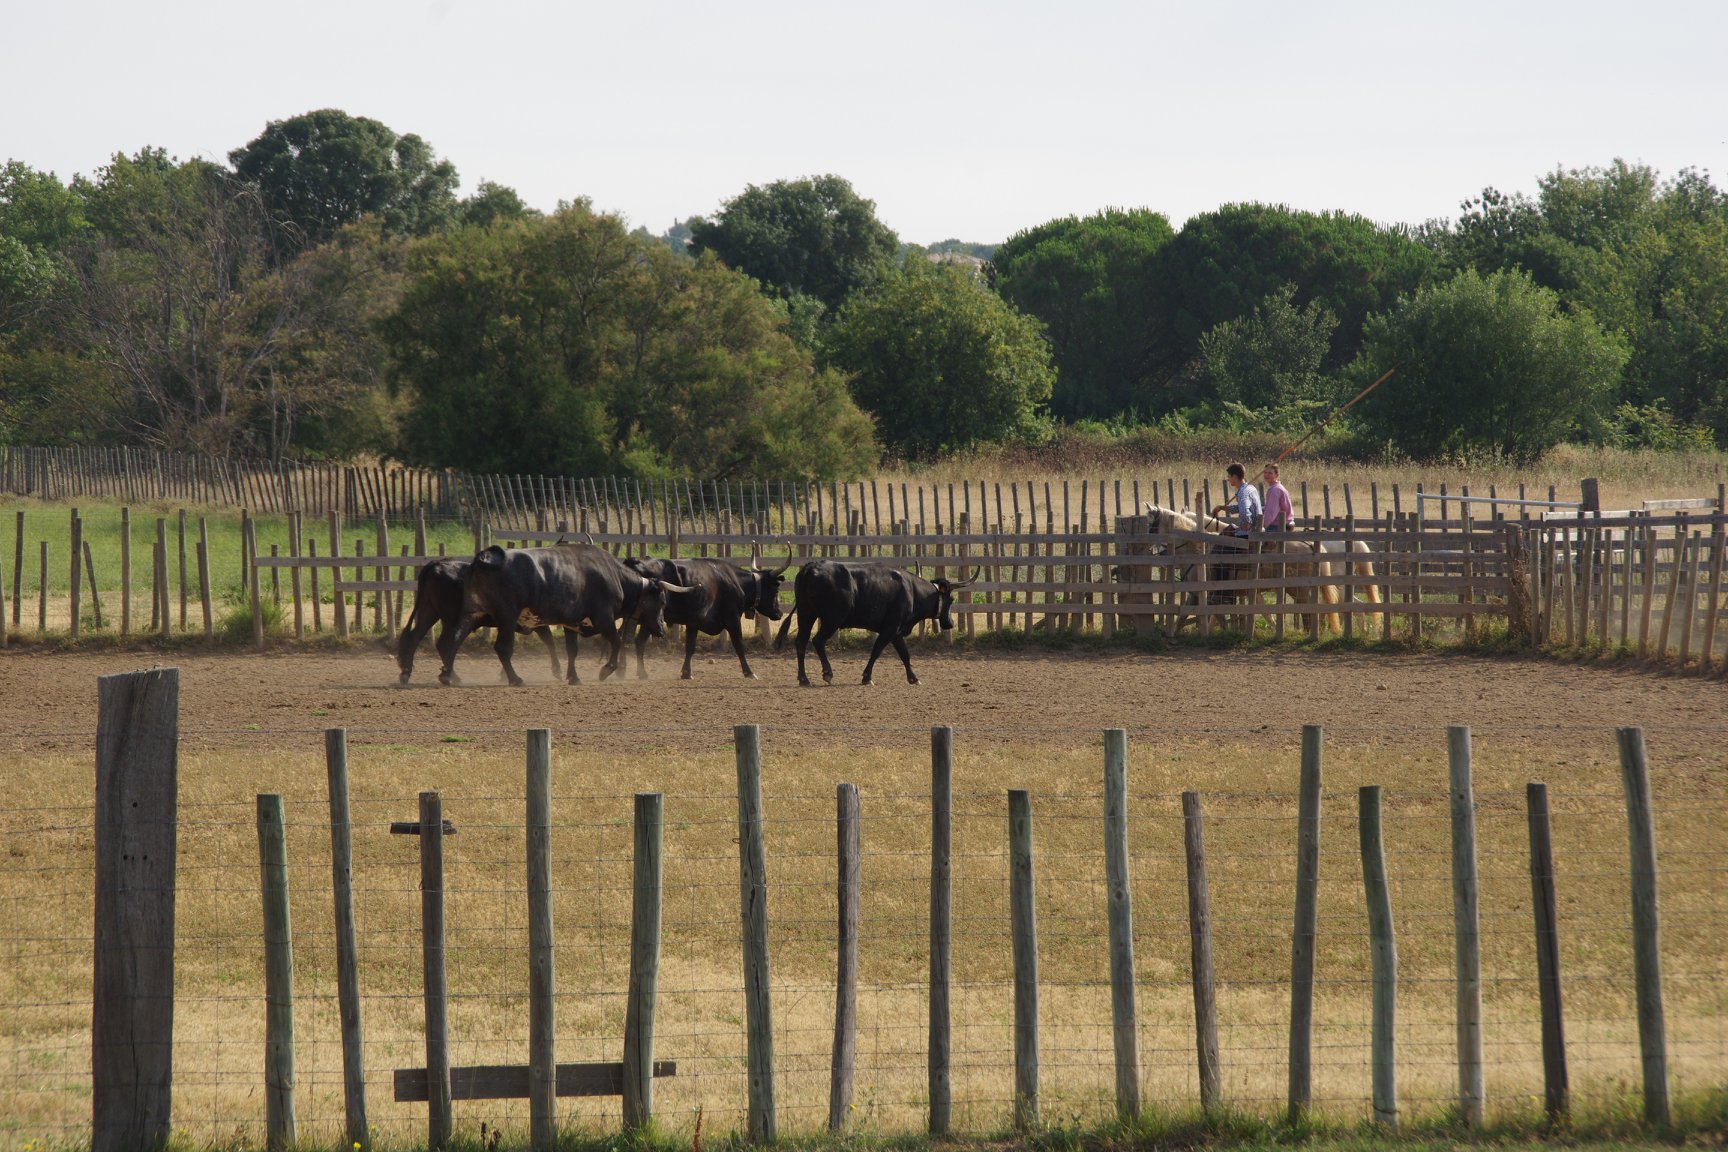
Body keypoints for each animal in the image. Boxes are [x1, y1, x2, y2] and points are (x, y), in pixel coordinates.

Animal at [456, 549, 691, 683]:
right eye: (662, 601)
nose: (661, 629)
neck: (612, 575)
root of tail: (484, 559)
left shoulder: (571, 623)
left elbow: (572, 650)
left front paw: (573, 677)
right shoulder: (604, 618)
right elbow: (616, 642)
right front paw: (606, 670)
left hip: (473, 613)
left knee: (454, 639)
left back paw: (450, 674)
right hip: (507, 618)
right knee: (503, 648)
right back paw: (515, 679)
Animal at [777, 559, 981, 683]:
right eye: (951, 599)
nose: (950, 623)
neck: (911, 591)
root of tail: (810, 567)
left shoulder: (896, 631)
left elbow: (904, 654)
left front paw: (913, 677)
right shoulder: (890, 629)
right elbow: (876, 651)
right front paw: (867, 677)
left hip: (806, 615)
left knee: (801, 643)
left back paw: (804, 679)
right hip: (831, 619)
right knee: (817, 641)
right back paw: (827, 673)